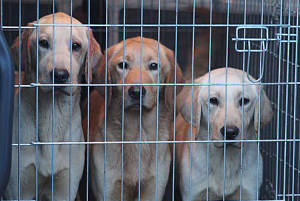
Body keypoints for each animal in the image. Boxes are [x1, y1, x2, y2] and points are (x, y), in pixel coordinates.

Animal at [4, 12, 101, 199]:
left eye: (76, 46)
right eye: (43, 43)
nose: (60, 74)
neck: (52, 114)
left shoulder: (65, 188)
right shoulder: (17, 189)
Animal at [173, 68, 274, 200]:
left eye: (244, 101)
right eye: (213, 100)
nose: (230, 132)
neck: (225, 160)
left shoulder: (249, 191)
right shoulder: (193, 193)